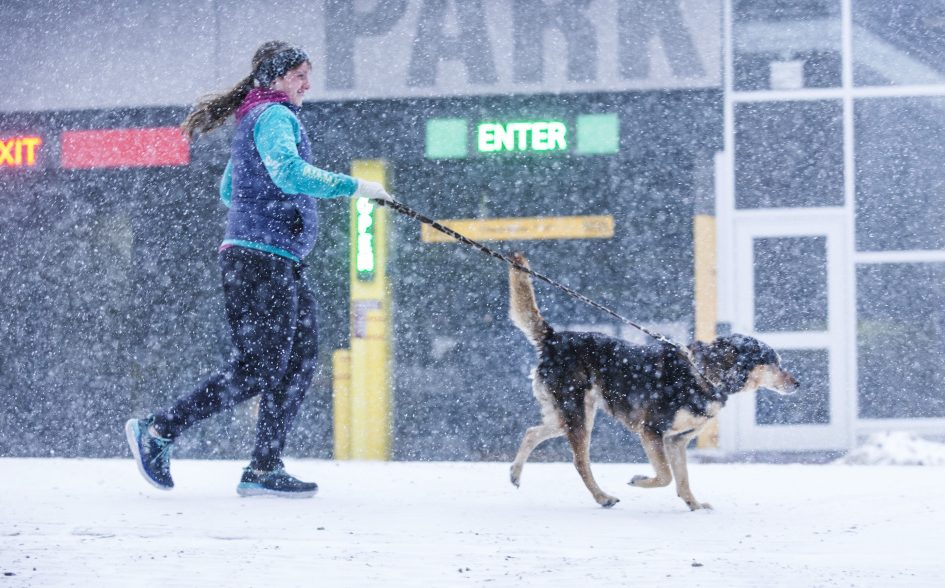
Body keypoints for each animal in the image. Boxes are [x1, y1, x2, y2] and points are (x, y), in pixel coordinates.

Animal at [508, 253, 796, 510]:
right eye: (774, 362)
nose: (798, 384)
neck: (703, 374)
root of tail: (554, 339)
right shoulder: (652, 431)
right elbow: (666, 476)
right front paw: (639, 480)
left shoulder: (676, 441)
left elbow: (682, 479)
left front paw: (694, 505)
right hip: (576, 414)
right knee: (580, 462)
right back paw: (603, 497)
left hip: (572, 415)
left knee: (532, 432)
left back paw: (515, 473)